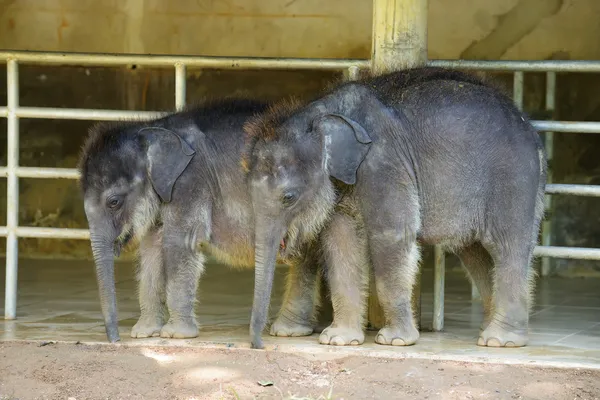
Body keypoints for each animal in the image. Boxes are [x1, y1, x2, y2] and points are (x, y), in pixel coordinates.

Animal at [78, 98, 328, 342]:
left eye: (114, 202)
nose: (115, 340)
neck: (155, 127)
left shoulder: (190, 180)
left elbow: (180, 242)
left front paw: (175, 334)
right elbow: (151, 248)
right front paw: (144, 333)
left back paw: (292, 331)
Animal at [241, 67, 548, 348]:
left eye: (288, 197)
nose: (260, 345)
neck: (322, 112)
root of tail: (532, 132)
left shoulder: (384, 164)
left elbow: (391, 235)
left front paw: (395, 341)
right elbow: (342, 242)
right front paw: (338, 340)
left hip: (514, 178)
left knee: (505, 246)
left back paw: (500, 340)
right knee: (475, 253)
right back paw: (488, 330)